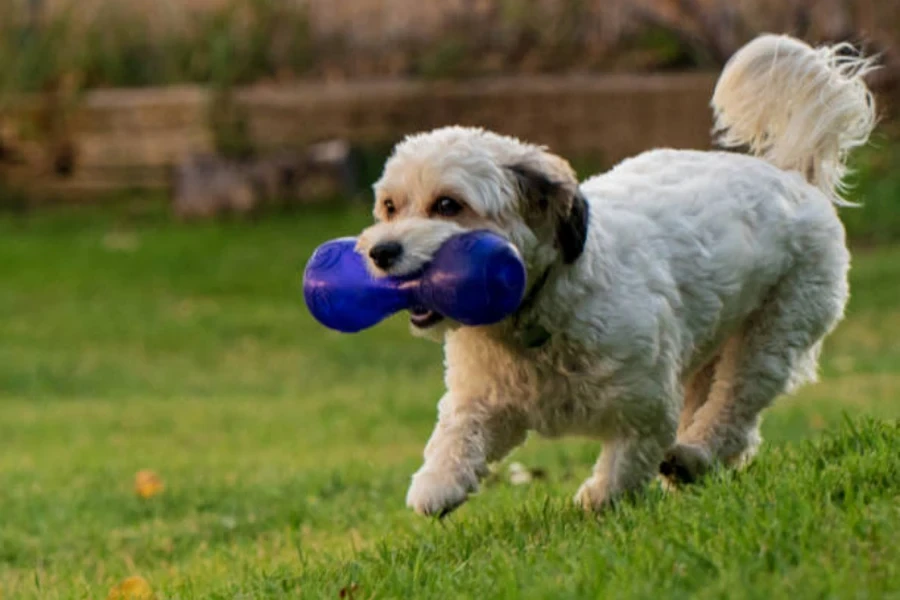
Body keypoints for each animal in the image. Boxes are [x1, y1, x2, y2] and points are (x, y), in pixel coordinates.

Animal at [356, 34, 876, 516]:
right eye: (390, 207)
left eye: (448, 205)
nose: (381, 252)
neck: (538, 311)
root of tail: (790, 176)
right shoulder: (486, 399)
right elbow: (458, 431)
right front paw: (437, 484)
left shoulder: (646, 406)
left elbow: (627, 462)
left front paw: (600, 499)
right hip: (707, 347)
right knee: (736, 427)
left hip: (775, 330)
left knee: (735, 404)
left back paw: (693, 455)